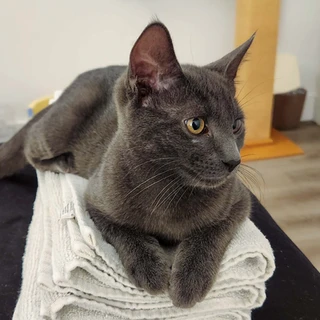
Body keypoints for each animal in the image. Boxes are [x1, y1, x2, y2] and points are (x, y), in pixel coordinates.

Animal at [0, 21, 255, 308]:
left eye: (236, 125)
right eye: (196, 125)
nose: (234, 160)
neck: (168, 187)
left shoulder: (240, 200)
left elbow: (213, 231)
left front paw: (191, 279)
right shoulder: (95, 199)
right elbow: (123, 230)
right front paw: (149, 269)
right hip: (57, 129)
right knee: (29, 144)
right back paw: (63, 162)